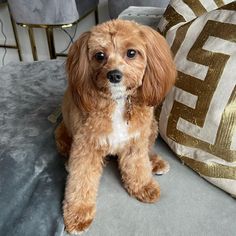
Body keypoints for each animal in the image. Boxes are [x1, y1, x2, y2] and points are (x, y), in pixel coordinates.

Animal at [55, 19, 176, 233]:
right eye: (99, 55)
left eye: (131, 52)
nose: (114, 75)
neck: (118, 101)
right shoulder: (86, 146)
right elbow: (81, 180)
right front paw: (78, 213)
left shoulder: (136, 140)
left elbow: (137, 166)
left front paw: (143, 186)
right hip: (62, 137)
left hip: (151, 128)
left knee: (147, 151)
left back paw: (155, 162)